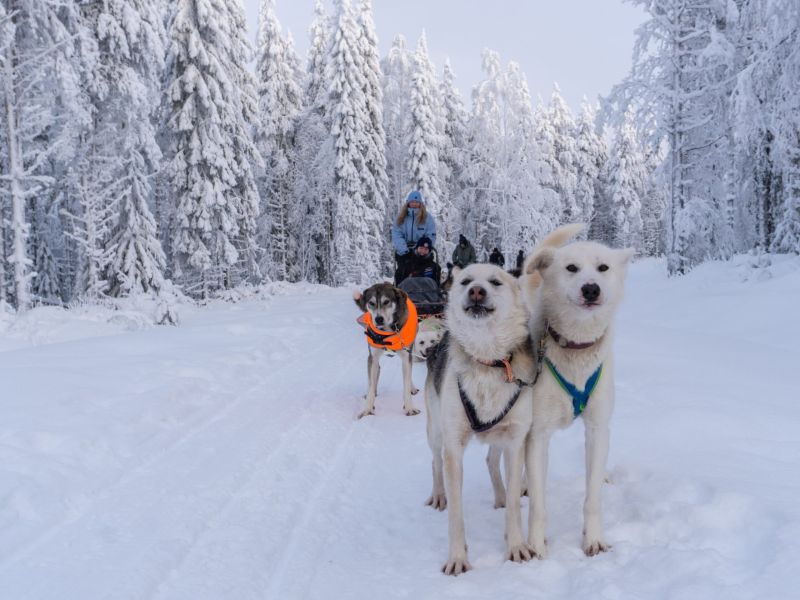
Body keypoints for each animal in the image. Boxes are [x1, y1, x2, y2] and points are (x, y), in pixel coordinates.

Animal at [354, 283, 420, 419]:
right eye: (371, 303)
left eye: (386, 301)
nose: (378, 319)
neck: (387, 333)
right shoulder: (372, 357)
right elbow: (371, 384)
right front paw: (367, 409)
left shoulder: (406, 356)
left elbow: (406, 383)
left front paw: (409, 408)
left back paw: (412, 388)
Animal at [522, 229, 634, 558]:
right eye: (571, 268)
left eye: (603, 268)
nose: (591, 288)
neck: (575, 346)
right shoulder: (537, 434)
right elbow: (538, 505)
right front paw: (536, 545)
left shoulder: (597, 428)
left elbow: (592, 497)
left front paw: (593, 539)